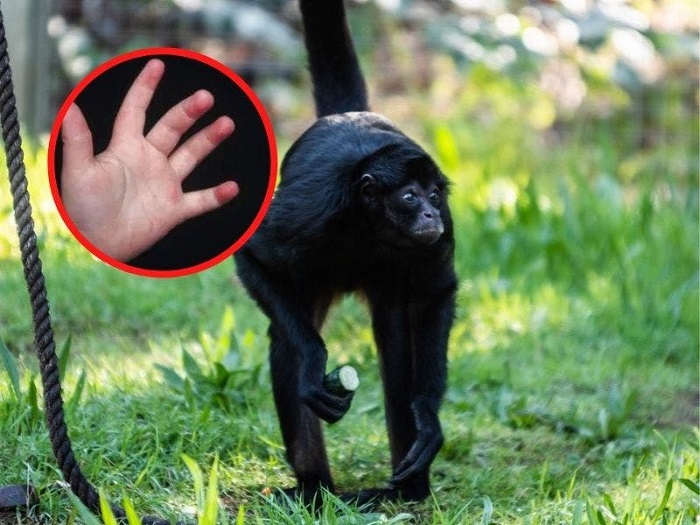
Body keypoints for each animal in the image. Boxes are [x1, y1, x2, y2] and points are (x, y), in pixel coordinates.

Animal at [234, 0, 454, 506]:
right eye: (409, 196)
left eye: (434, 195)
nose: (429, 213)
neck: (367, 225)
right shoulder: (309, 211)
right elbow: (252, 257)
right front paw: (316, 361)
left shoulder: (445, 228)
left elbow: (437, 295)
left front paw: (427, 419)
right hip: (311, 274)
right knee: (286, 343)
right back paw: (315, 490)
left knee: (395, 347)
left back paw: (407, 492)